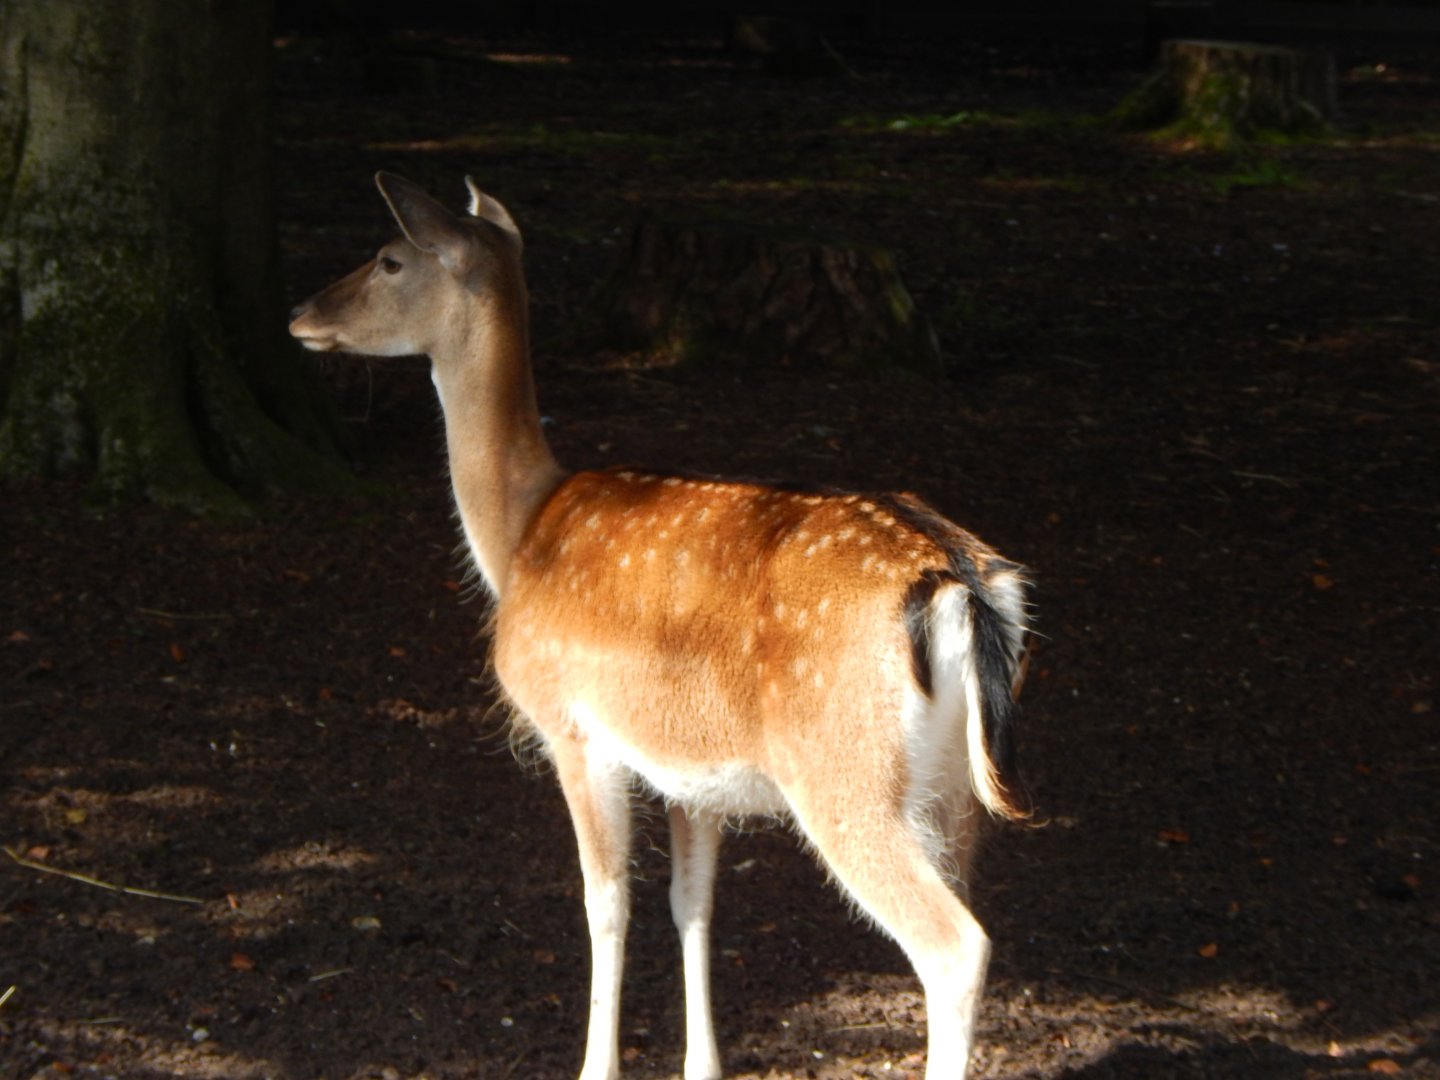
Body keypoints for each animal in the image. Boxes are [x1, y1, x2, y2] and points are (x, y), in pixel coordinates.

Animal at [289, 172, 1032, 1080]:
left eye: (390, 258)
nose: (300, 313)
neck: (520, 532)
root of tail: (962, 582)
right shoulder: (690, 772)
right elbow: (693, 904)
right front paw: (701, 1063)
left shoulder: (573, 726)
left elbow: (605, 903)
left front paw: (594, 1066)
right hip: (955, 791)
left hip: (844, 774)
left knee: (954, 946)